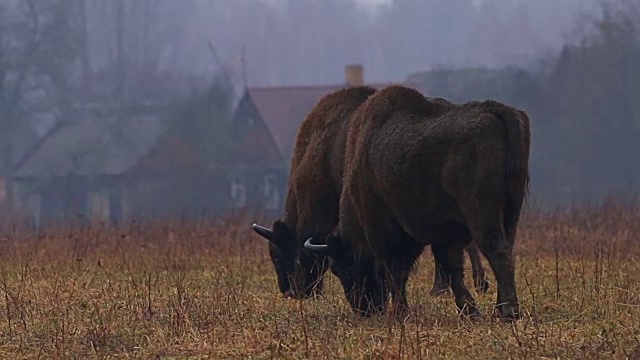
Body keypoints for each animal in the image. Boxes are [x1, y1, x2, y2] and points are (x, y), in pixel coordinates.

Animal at [304, 84, 528, 320]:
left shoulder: (384, 231)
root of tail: (495, 109)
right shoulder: (444, 233)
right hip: (510, 212)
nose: (363, 308)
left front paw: (400, 311)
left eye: (340, 268)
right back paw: (501, 308)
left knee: (498, 251)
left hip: (482, 215)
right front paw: (468, 310)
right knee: (506, 250)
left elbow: (396, 270)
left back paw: (509, 311)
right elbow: (450, 267)